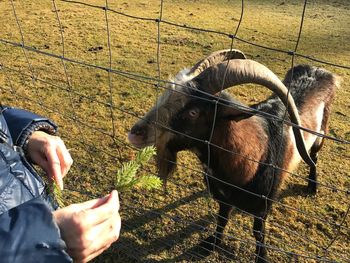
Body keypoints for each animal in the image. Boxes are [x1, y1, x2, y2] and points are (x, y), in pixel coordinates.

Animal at [129, 50, 340, 263]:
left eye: (193, 112)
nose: (135, 133)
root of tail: (320, 70)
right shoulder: (223, 197)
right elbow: (222, 218)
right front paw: (211, 244)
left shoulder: (264, 205)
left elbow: (258, 232)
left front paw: (261, 257)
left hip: (321, 134)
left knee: (314, 157)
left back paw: (312, 186)